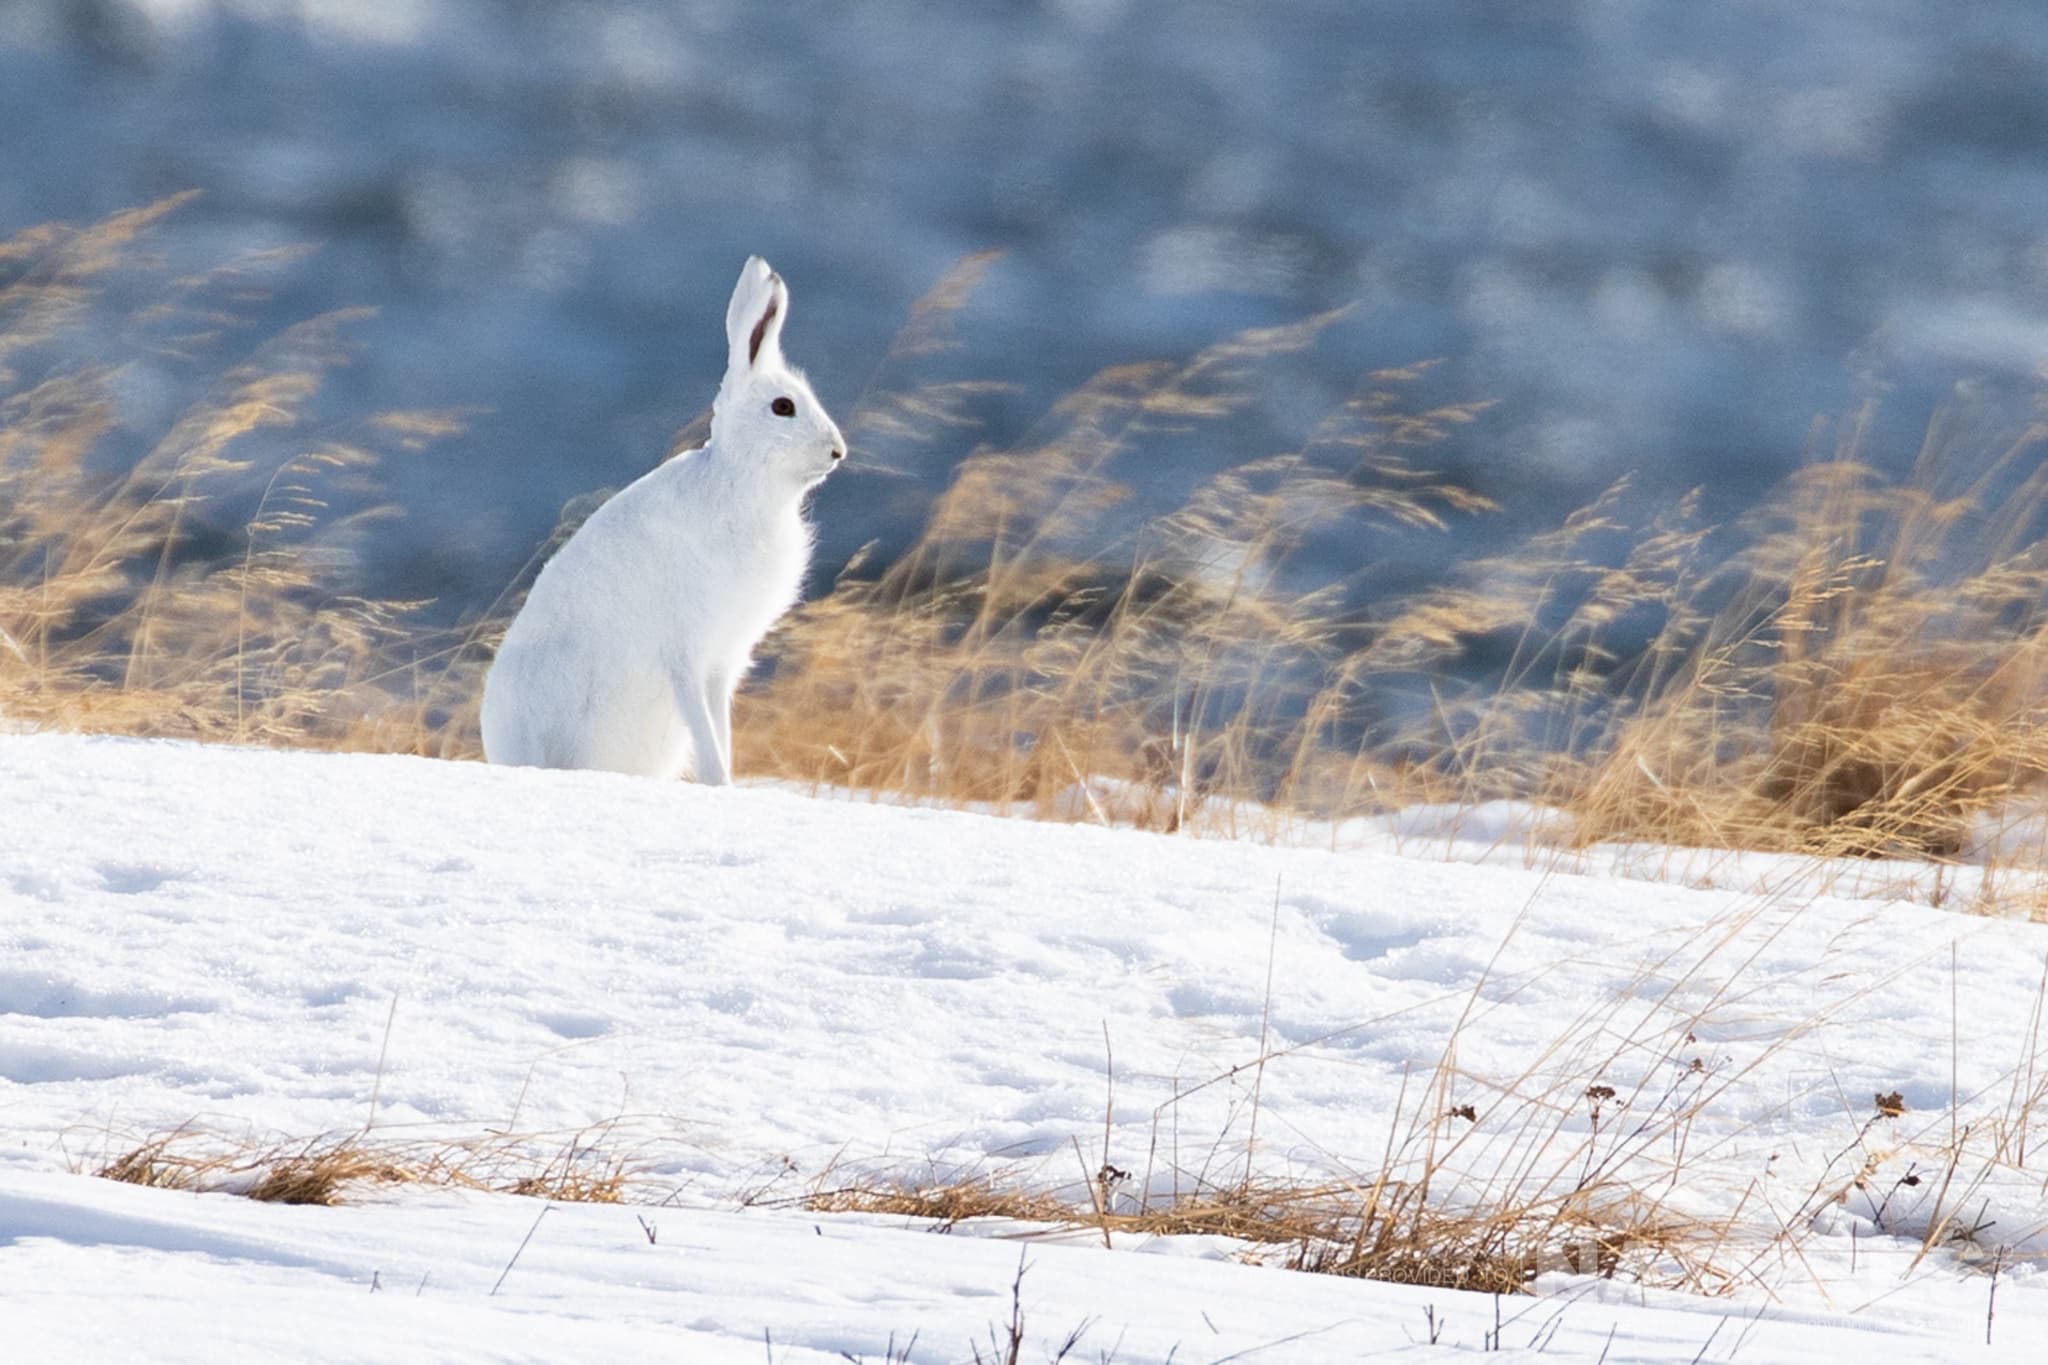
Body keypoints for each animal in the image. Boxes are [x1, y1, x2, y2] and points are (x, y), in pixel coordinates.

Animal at [480, 256, 845, 783]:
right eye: (783, 407)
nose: (838, 452)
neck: (739, 484)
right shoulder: (684, 654)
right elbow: (706, 736)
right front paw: (719, 785)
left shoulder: (722, 662)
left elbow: (722, 732)